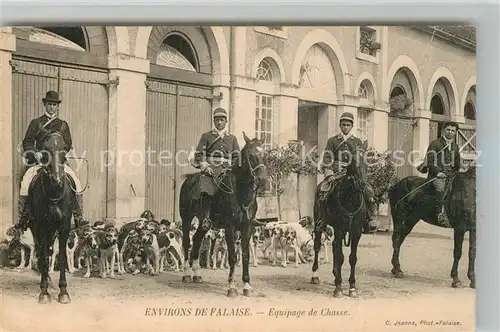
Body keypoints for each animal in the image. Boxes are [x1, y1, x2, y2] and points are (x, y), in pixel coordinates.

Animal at [27, 132, 75, 304]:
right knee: (43, 253)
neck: (54, 193)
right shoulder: (40, 227)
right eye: (45, 151)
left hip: (52, 231)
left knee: (48, 250)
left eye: (64, 149)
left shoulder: (63, 227)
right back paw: (45, 279)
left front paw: (63, 292)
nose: (57, 180)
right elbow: (44, 257)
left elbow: (61, 257)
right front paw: (44, 293)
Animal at [179, 132, 268, 298]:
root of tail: (190, 179)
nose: (263, 180)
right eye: (251, 155)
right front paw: (231, 287)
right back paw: (187, 274)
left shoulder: (247, 227)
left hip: (204, 224)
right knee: (187, 242)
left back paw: (196, 273)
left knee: (197, 239)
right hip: (186, 219)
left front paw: (247, 285)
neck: (241, 193)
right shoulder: (229, 227)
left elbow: (245, 255)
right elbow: (233, 256)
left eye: (265, 154)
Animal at [310, 139, 370, 296]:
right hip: (319, 225)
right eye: (353, 162)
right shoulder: (339, 228)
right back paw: (315, 276)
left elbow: (352, 258)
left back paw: (335, 274)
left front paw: (352, 287)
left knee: (335, 247)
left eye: (367, 163)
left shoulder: (356, 232)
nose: (363, 185)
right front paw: (338, 287)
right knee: (318, 247)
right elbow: (341, 256)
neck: (349, 199)